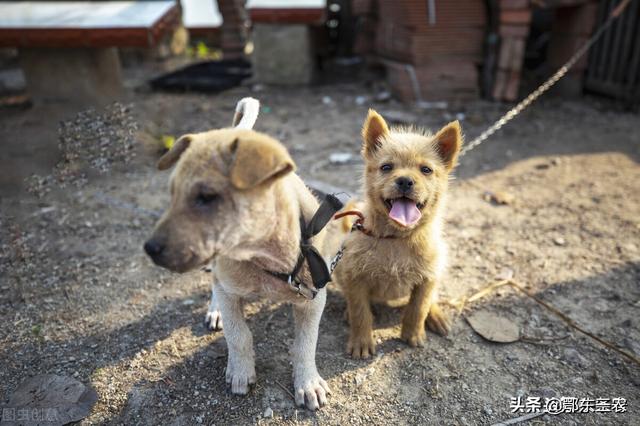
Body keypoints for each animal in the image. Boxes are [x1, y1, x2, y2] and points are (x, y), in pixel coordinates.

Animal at [332, 110, 462, 360]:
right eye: (386, 167)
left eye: (426, 170)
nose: (404, 181)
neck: (396, 239)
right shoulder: (354, 277)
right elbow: (360, 312)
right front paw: (361, 342)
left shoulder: (427, 278)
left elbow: (418, 308)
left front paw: (413, 334)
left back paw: (436, 315)